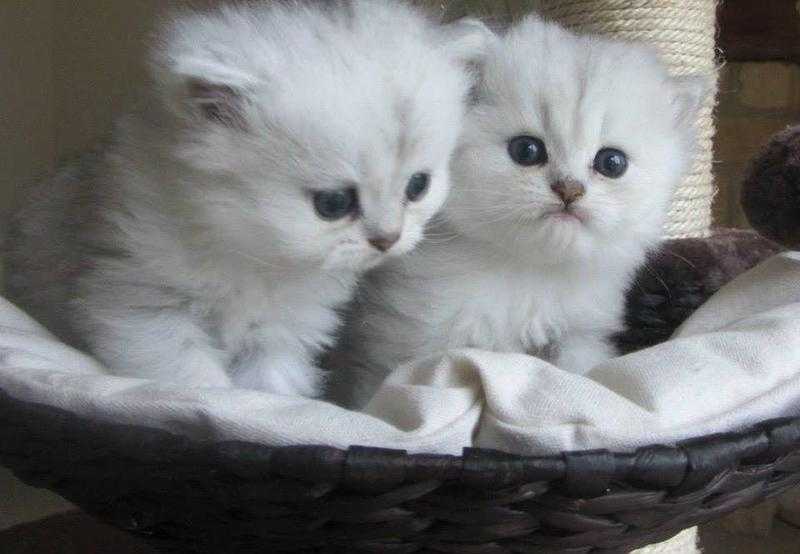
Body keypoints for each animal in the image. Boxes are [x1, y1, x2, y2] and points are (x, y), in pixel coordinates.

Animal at [4, 2, 488, 394]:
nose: (388, 240)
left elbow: (270, 389)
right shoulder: (139, 306)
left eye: (417, 186)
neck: (252, 250)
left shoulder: (279, 333)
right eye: (333, 204)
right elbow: (195, 381)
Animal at [328, 16, 708, 406]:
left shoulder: (579, 338)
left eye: (611, 163)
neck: (528, 274)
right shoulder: (409, 344)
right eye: (526, 150)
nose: (569, 189)